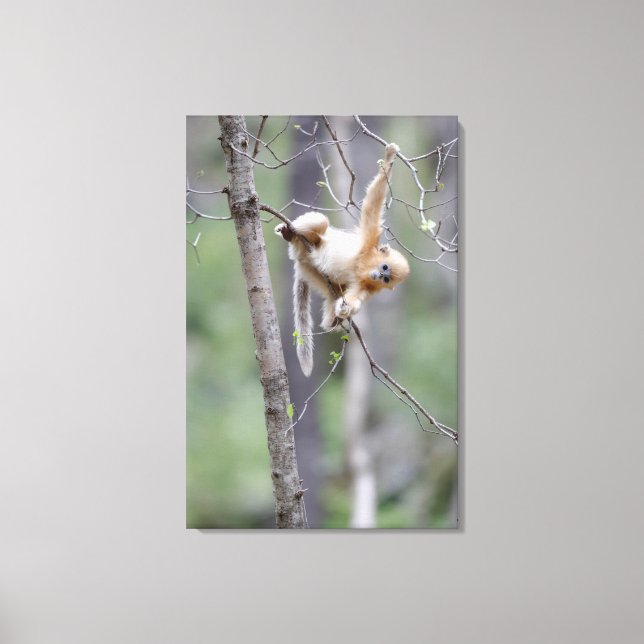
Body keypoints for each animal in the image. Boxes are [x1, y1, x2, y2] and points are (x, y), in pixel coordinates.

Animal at [275, 142, 410, 376]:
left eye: (386, 279)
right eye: (384, 267)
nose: (378, 275)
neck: (362, 267)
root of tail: (301, 255)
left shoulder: (366, 287)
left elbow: (352, 301)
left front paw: (345, 310)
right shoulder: (368, 241)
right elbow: (373, 204)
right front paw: (390, 157)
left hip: (311, 272)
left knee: (332, 300)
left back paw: (333, 319)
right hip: (312, 242)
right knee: (320, 221)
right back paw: (290, 233)